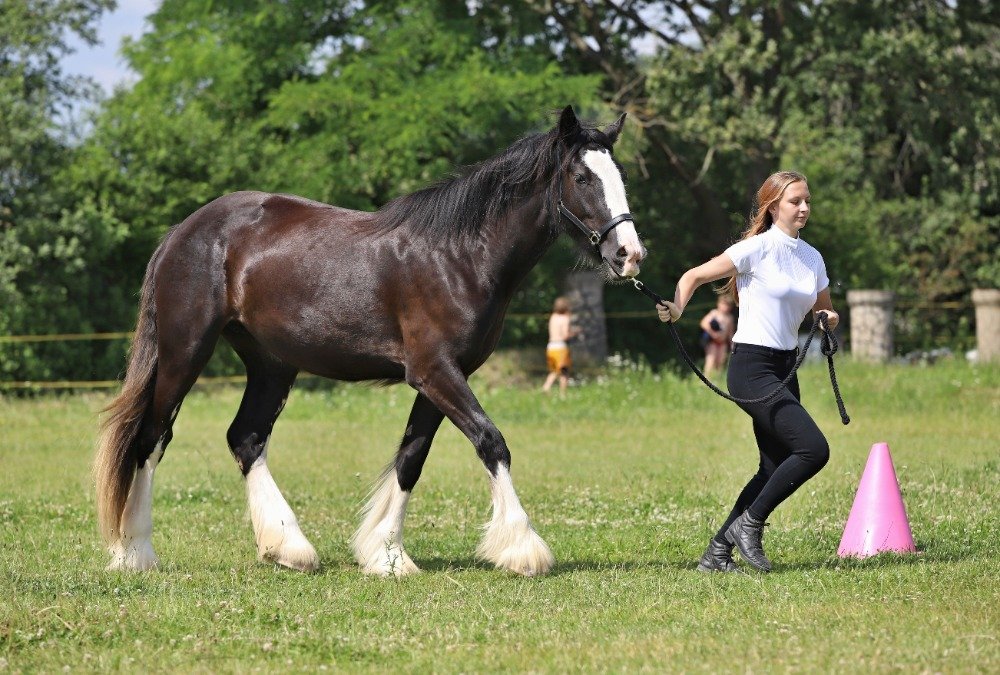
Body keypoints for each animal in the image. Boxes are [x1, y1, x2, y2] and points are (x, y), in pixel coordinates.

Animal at [95, 105, 648, 576]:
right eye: (582, 177)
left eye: (620, 176)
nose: (629, 254)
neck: (459, 256)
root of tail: (183, 232)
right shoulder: (434, 371)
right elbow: (491, 441)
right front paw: (522, 547)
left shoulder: (442, 377)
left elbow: (411, 458)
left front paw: (387, 554)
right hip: (185, 352)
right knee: (150, 438)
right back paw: (135, 553)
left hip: (272, 364)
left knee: (245, 438)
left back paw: (287, 547)